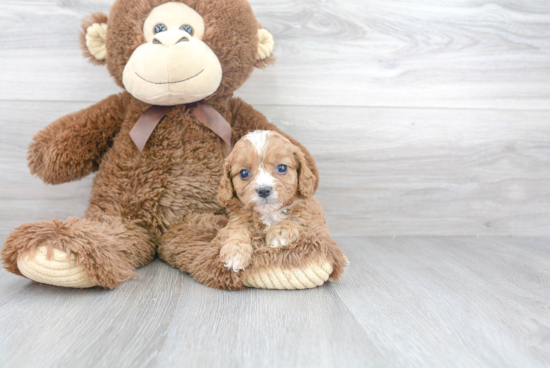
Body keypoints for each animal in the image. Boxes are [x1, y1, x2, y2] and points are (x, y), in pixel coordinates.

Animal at [218, 129, 348, 276]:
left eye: (282, 168)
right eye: (244, 173)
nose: (264, 190)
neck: (270, 213)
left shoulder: (312, 218)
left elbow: (297, 219)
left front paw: (279, 233)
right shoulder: (236, 220)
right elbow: (238, 230)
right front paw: (235, 252)